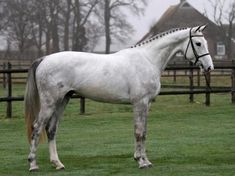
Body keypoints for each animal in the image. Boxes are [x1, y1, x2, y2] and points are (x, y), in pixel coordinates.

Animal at [24, 24, 214, 170]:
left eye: (205, 42)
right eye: (198, 43)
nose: (209, 67)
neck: (148, 59)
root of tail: (44, 59)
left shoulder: (147, 104)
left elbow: (144, 132)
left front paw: (145, 160)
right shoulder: (139, 103)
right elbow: (139, 132)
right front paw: (141, 162)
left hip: (63, 100)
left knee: (51, 129)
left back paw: (58, 164)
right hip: (50, 102)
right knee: (37, 127)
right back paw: (33, 164)